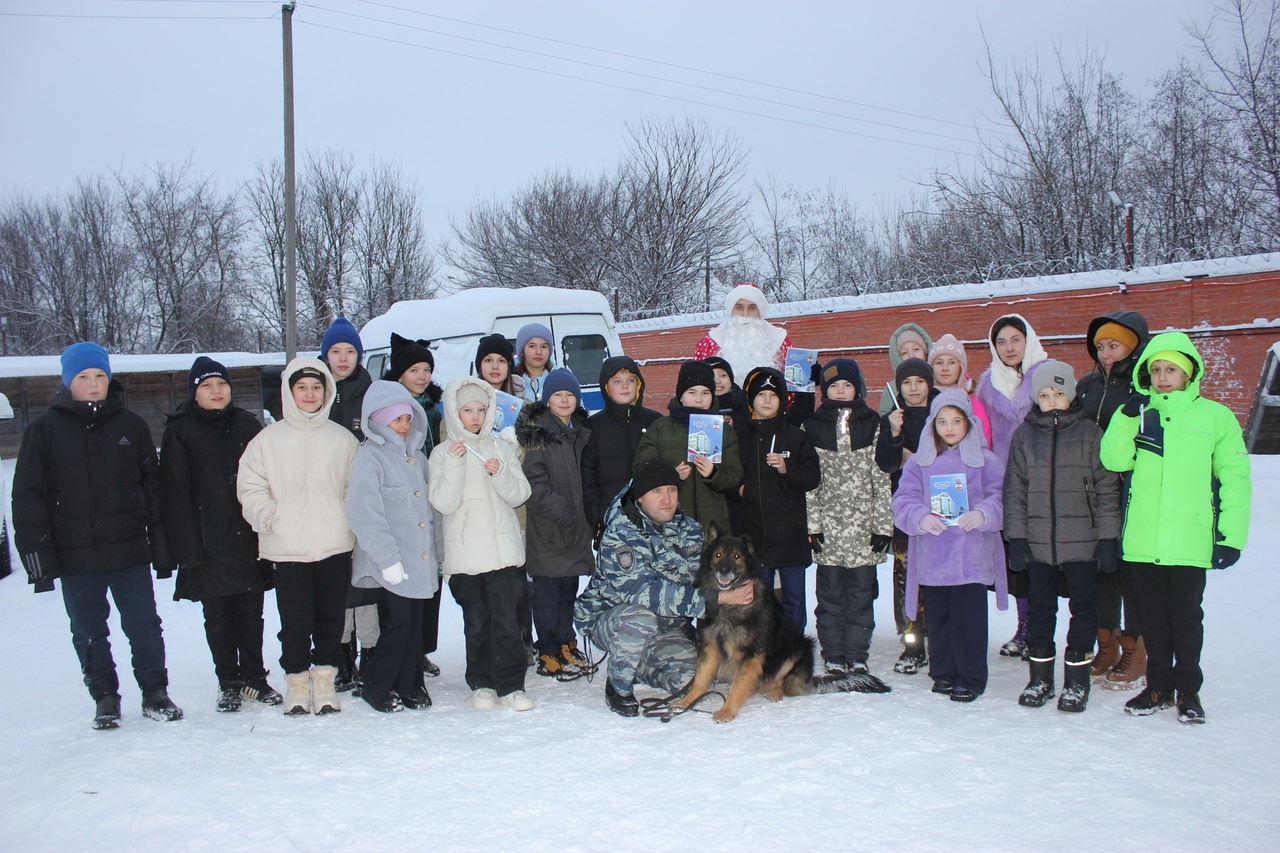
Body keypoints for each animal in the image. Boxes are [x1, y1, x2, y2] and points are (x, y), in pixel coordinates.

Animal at [675, 522, 814, 722]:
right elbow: (700, 676)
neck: (729, 606)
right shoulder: (710, 646)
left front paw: (727, 711)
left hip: (797, 646)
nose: (724, 570)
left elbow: (738, 684)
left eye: (737, 556)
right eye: (718, 555)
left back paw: (774, 692)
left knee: (782, 679)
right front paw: (687, 701)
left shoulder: (752, 654)